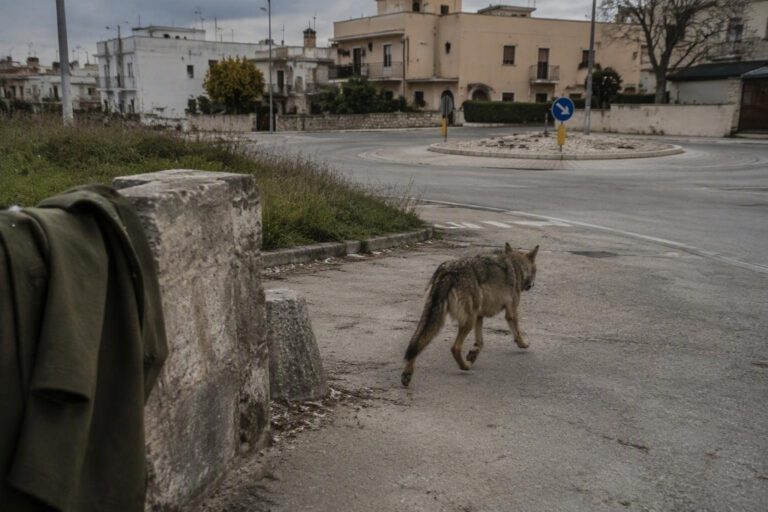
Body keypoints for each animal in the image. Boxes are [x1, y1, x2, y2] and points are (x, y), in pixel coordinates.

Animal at [401, 243, 539, 387]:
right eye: (536, 271)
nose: (533, 285)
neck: (516, 265)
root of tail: (449, 270)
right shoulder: (511, 312)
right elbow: (517, 332)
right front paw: (524, 344)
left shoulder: (479, 315)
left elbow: (480, 342)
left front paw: (473, 354)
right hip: (467, 321)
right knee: (454, 348)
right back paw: (465, 366)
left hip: (435, 319)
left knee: (415, 345)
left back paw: (407, 374)